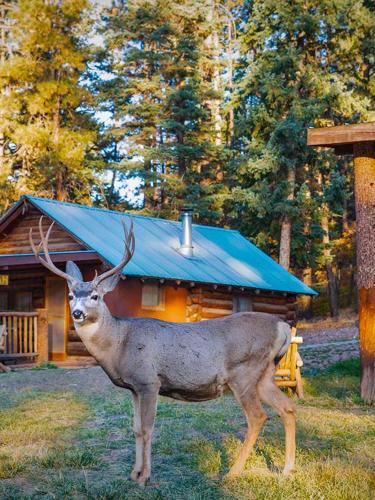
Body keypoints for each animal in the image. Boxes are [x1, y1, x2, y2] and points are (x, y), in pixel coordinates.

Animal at [30, 217, 296, 486]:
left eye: (95, 296)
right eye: (71, 295)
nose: (77, 313)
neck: (119, 343)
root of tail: (282, 326)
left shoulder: (149, 381)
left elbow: (147, 428)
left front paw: (144, 477)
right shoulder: (134, 387)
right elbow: (136, 428)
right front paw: (134, 473)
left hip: (244, 372)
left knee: (258, 416)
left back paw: (233, 472)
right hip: (265, 374)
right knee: (287, 407)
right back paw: (286, 469)